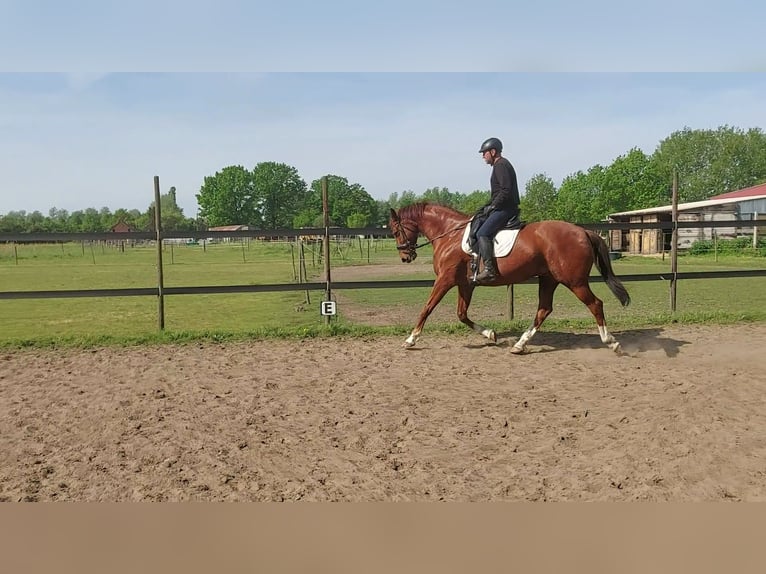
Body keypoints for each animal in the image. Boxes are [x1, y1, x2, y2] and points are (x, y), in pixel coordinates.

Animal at [388, 202, 631, 354]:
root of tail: (583, 232)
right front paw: (491, 334)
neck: (450, 235)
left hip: (574, 281)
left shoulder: (445, 280)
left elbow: (427, 308)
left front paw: (411, 339)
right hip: (549, 279)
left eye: (396, 231)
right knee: (544, 309)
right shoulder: (465, 283)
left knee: (595, 304)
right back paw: (520, 345)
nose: (405, 257)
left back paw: (612, 343)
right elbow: (461, 314)